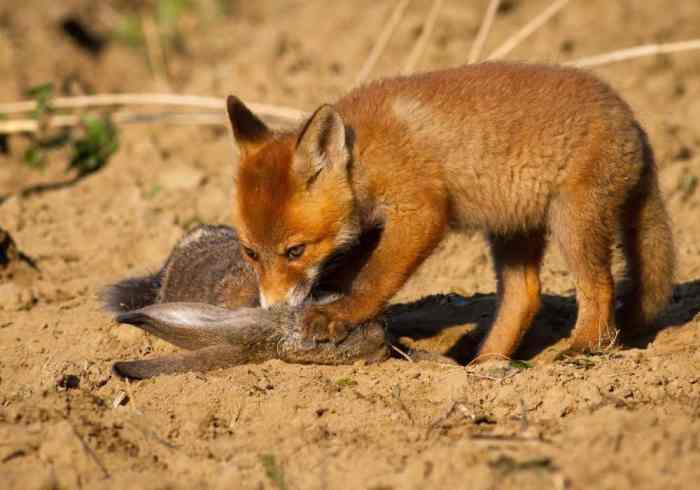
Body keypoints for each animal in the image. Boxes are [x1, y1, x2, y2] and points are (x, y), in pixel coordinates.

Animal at [227, 61, 676, 362]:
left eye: (295, 251)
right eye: (250, 253)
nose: (272, 308)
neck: (366, 154)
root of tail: (633, 121)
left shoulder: (420, 211)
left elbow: (374, 278)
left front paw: (340, 313)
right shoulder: (373, 226)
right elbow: (352, 269)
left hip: (573, 222)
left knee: (599, 287)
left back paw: (583, 347)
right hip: (512, 228)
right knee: (525, 295)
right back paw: (483, 364)